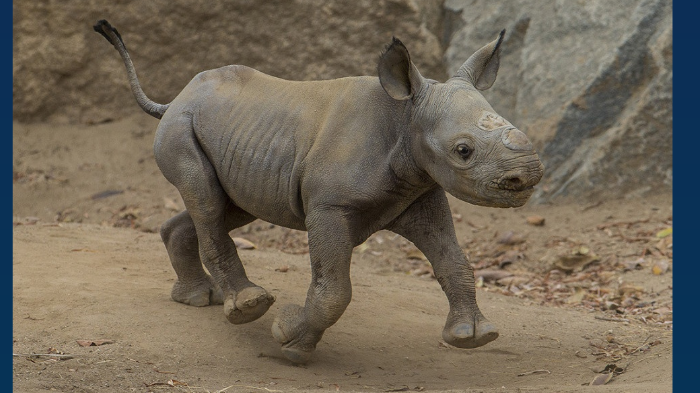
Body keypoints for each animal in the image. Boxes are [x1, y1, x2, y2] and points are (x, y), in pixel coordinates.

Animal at [93, 19, 544, 362]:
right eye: (463, 151)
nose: (528, 176)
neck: (406, 119)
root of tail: (174, 99)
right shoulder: (331, 206)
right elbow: (334, 289)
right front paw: (290, 342)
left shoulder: (421, 192)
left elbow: (454, 260)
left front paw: (472, 336)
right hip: (182, 127)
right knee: (206, 200)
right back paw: (247, 306)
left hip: (237, 137)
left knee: (228, 206)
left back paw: (199, 299)